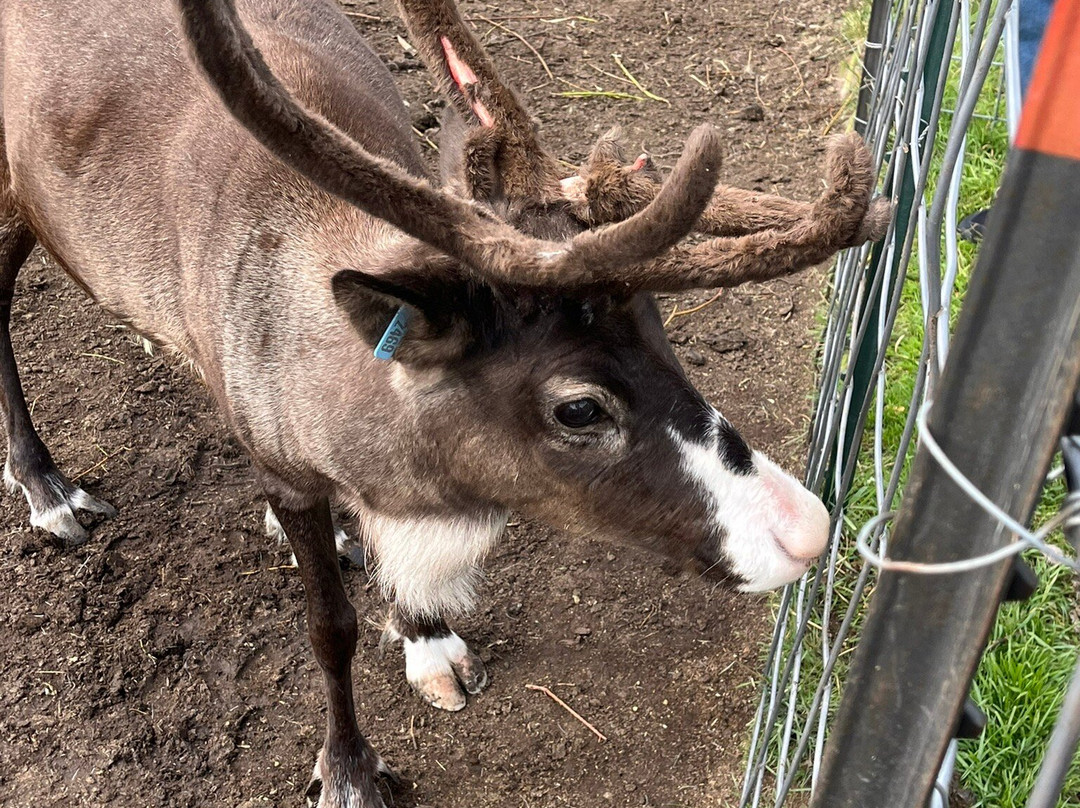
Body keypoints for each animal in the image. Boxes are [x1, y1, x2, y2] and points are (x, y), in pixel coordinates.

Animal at [0, 0, 889, 804]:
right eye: (579, 408)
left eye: (659, 329)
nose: (808, 527)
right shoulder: (291, 467)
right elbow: (330, 628)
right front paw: (349, 772)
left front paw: (427, 640)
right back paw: (46, 487)